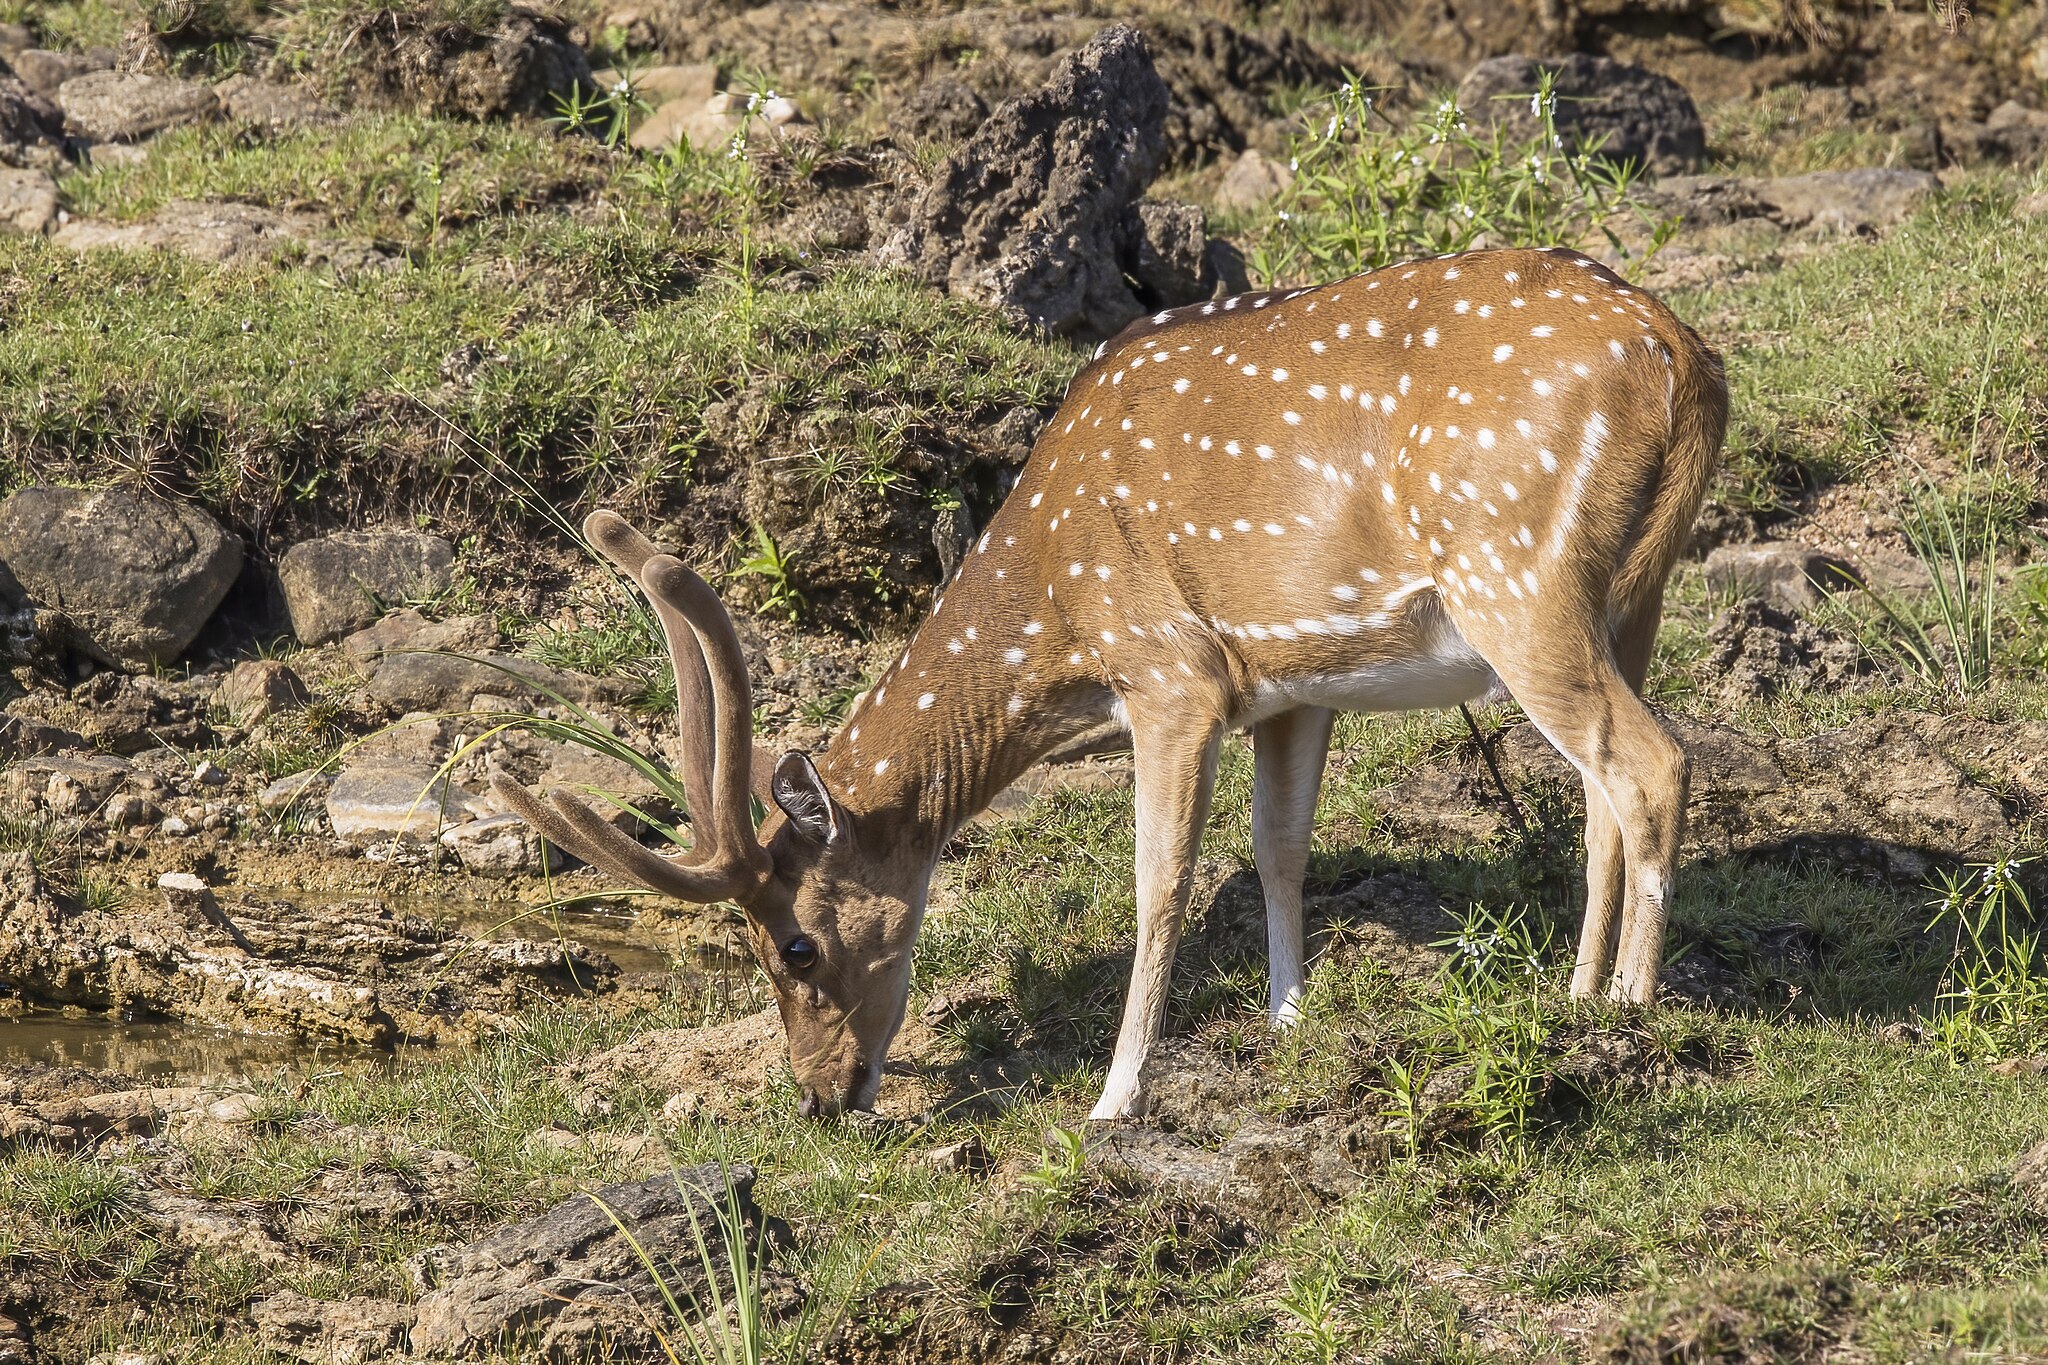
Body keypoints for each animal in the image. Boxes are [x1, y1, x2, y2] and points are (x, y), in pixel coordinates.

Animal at [494, 245, 1727, 1122]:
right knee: (1601, 788)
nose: (818, 1095)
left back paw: (1631, 1008)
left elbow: (1159, 879)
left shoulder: (1171, 673)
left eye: (792, 945)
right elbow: (1278, 851)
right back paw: (1575, 996)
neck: (1057, 615)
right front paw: (1288, 1025)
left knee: (1652, 761)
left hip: (1511, 568)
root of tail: (1684, 358)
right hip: (1627, 594)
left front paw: (1114, 1096)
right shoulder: (1294, 684)